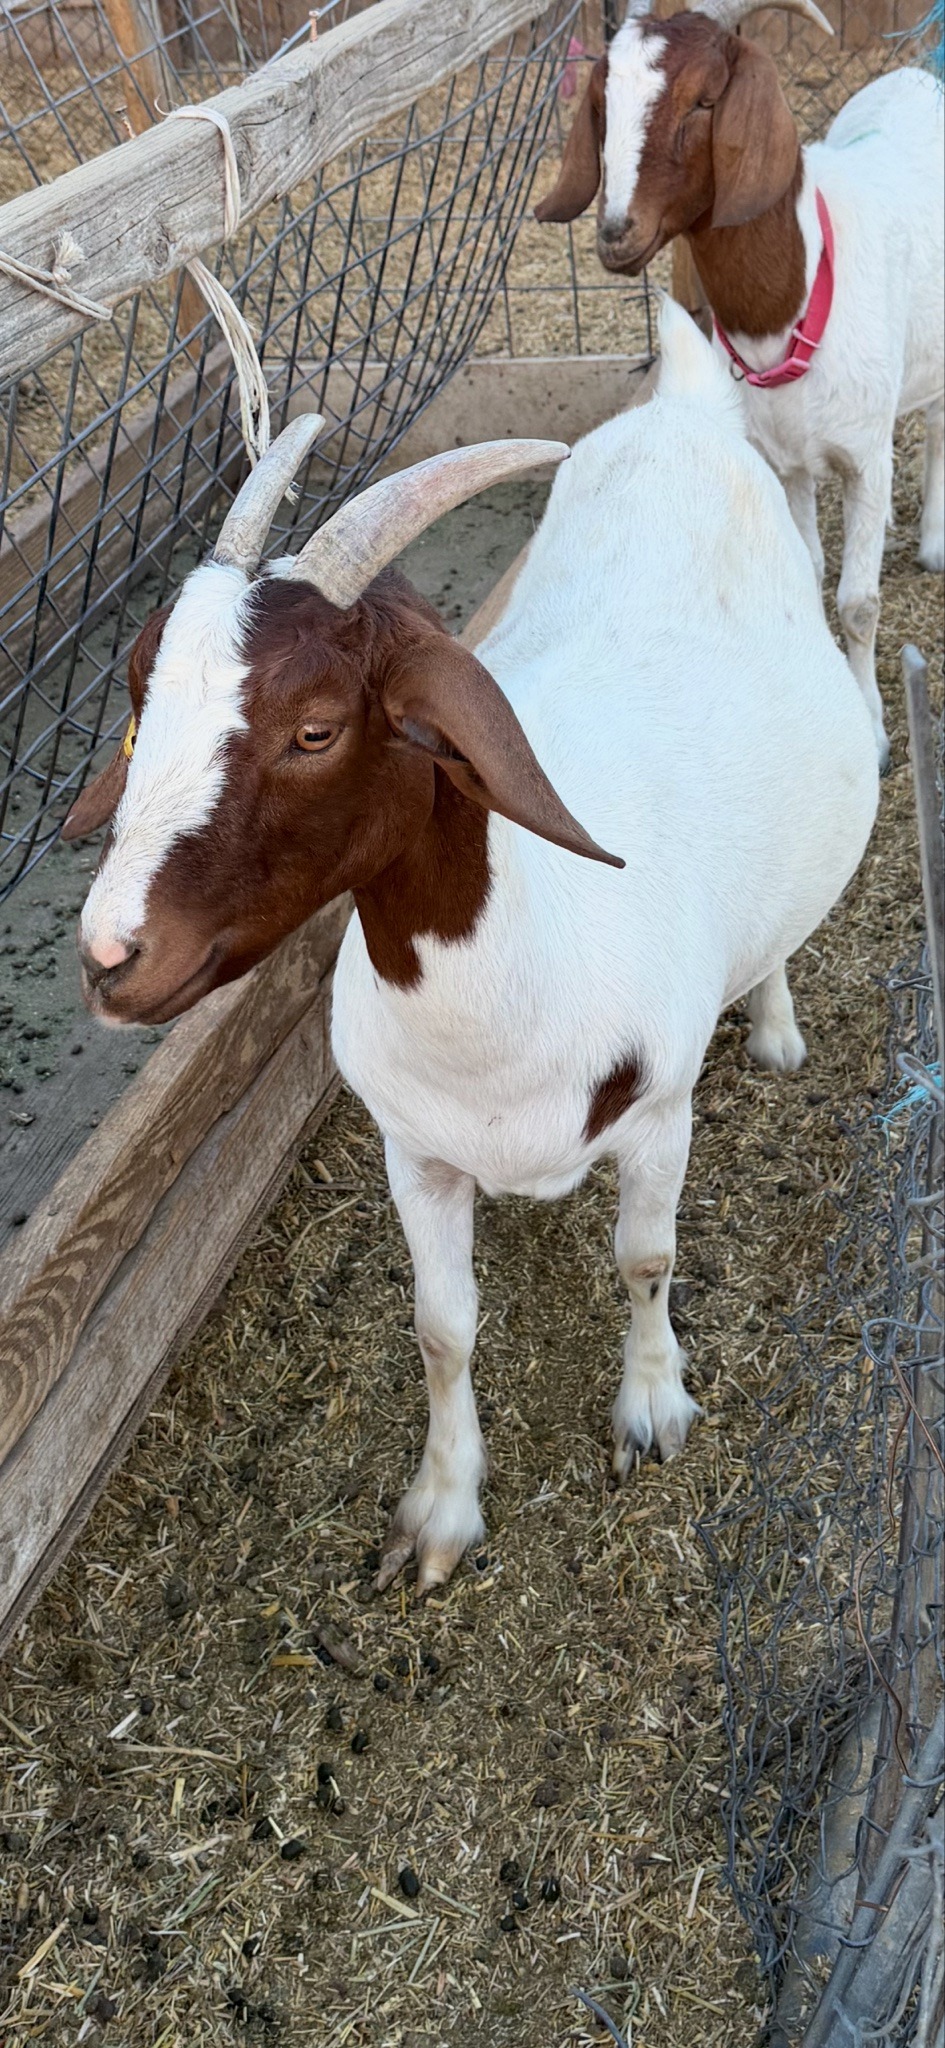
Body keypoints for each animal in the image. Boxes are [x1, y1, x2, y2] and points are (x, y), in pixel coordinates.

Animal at [66, 300, 878, 1592]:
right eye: (142, 706)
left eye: (316, 728)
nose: (111, 954)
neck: (534, 956)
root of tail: (682, 402)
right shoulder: (417, 1151)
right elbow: (442, 1329)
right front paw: (441, 1509)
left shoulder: (660, 1115)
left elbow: (645, 1259)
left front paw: (653, 1407)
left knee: (778, 929)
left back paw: (776, 1024)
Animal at [535, 0, 945, 769]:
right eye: (603, 101)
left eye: (704, 99)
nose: (615, 233)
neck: (791, 302)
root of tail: (923, 73)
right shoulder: (786, 461)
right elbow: (810, 573)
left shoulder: (862, 455)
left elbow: (858, 602)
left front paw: (876, 734)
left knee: (936, 422)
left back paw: (934, 538)